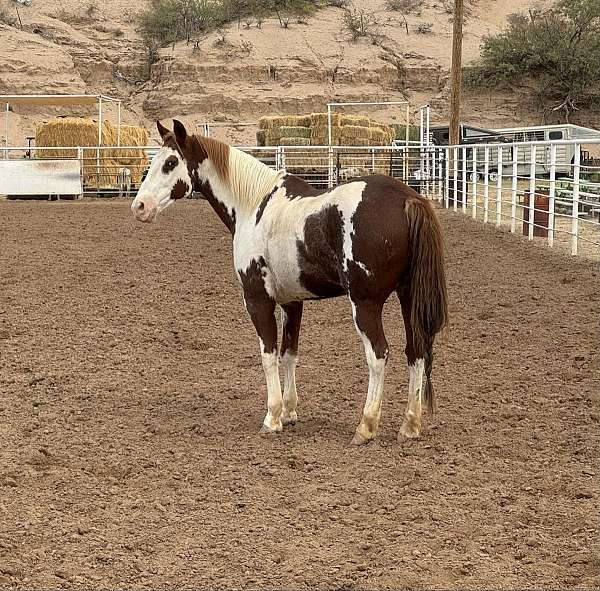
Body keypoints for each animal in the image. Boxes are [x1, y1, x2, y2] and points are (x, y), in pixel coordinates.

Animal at [134, 120, 448, 444]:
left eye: (170, 163)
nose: (140, 206)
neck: (253, 207)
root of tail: (408, 199)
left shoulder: (258, 299)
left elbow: (268, 355)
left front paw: (272, 417)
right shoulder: (292, 302)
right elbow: (289, 354)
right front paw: (289, 411)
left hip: (365, 304)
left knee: (378, 355)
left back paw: (366, 426)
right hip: (408, 298)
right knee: (416, 352)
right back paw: (410, 425)